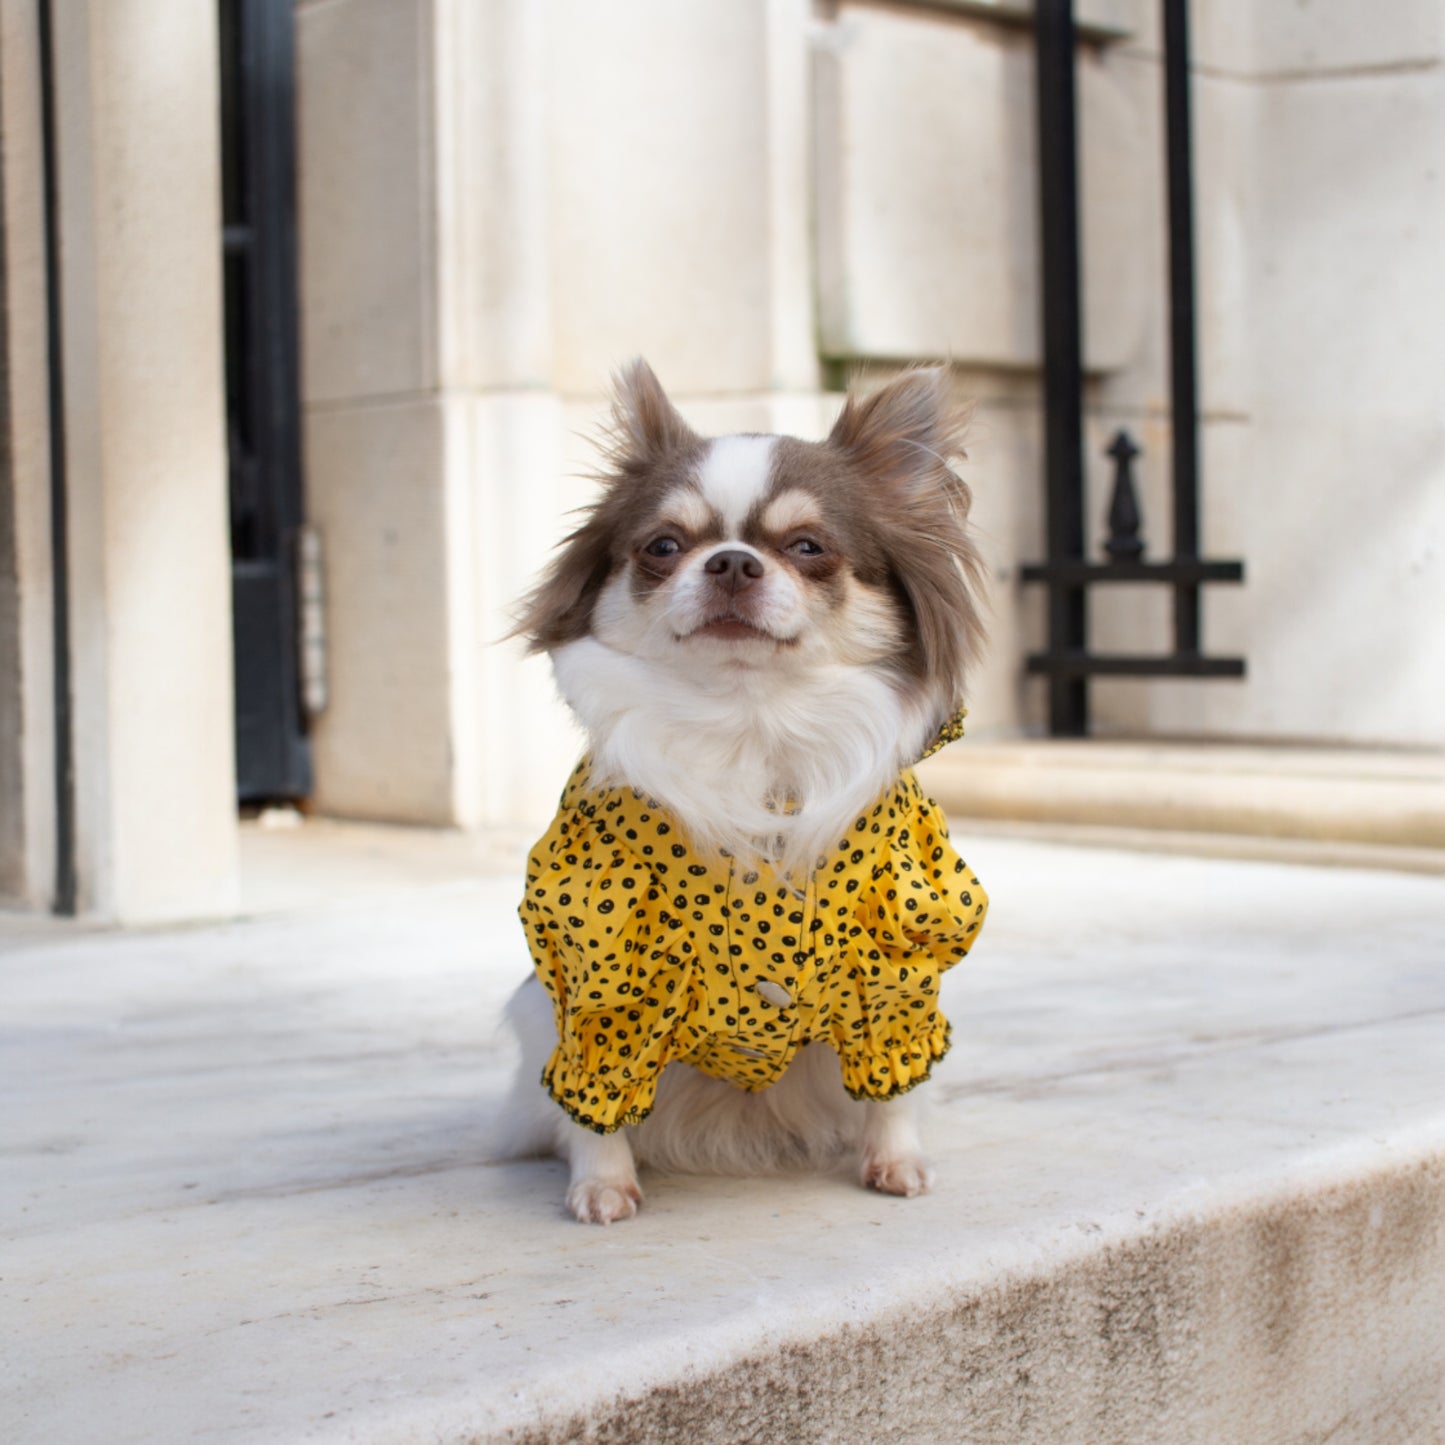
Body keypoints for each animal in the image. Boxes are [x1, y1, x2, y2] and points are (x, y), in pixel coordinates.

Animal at [502, 358, 988, 1219]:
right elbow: (597, 1098)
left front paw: (895, 1160)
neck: (749, 721)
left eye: (808, 546)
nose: (730, 560)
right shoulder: (602, 974)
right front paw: (602, 1182)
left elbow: (893, 1086)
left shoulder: (896, 959)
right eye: (662, 546)